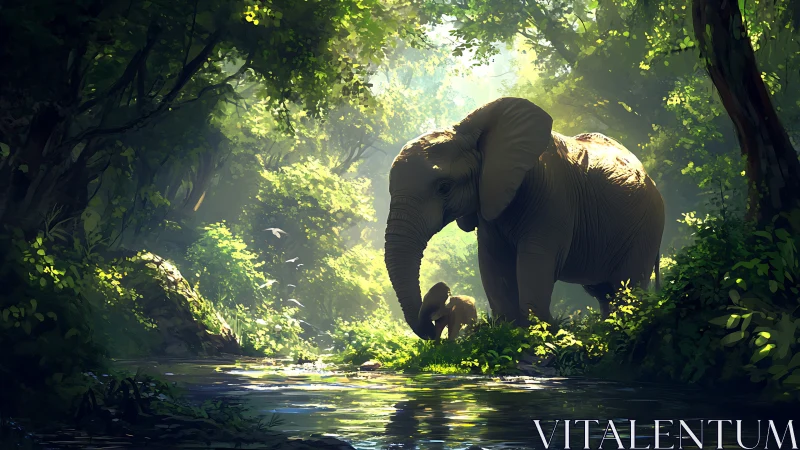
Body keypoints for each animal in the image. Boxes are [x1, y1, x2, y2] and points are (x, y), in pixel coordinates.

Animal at [384, 97, 665, 340]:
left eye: (444, 187)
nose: (443, 289)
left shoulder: (553, 197)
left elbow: (535, 260)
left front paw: (541, 333)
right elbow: (492, 263)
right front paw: (510, 330)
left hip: (647, 227)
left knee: (627, 285)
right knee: (604, 292)